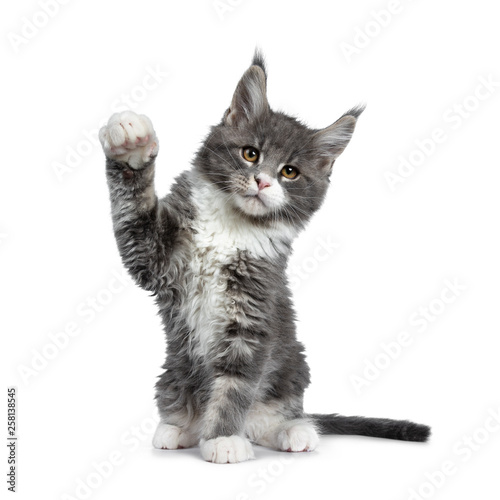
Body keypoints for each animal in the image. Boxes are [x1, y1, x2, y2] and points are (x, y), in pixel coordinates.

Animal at [98, 51, 430, 464]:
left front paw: (223, 437)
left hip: (292, 367)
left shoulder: (253, 314)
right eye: (250, 153)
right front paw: (132, 147)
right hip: (173, 370)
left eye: (290, 172)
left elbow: (235, 385)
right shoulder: (156, 255)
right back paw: (179, 427)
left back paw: (294, 431)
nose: (263, 181)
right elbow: (136, 213)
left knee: (274, 416)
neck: (232, 226)